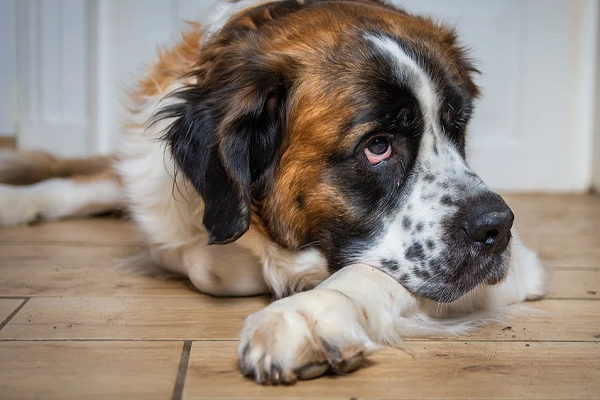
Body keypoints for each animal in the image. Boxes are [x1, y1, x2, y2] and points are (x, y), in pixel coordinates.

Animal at [0, 0, 548, 386]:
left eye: (457, 127)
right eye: (378, 147)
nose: (498, 228)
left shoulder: (520, 266)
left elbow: (362, 273)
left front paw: (306, 314)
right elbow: (205, 258)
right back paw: (17, 196)